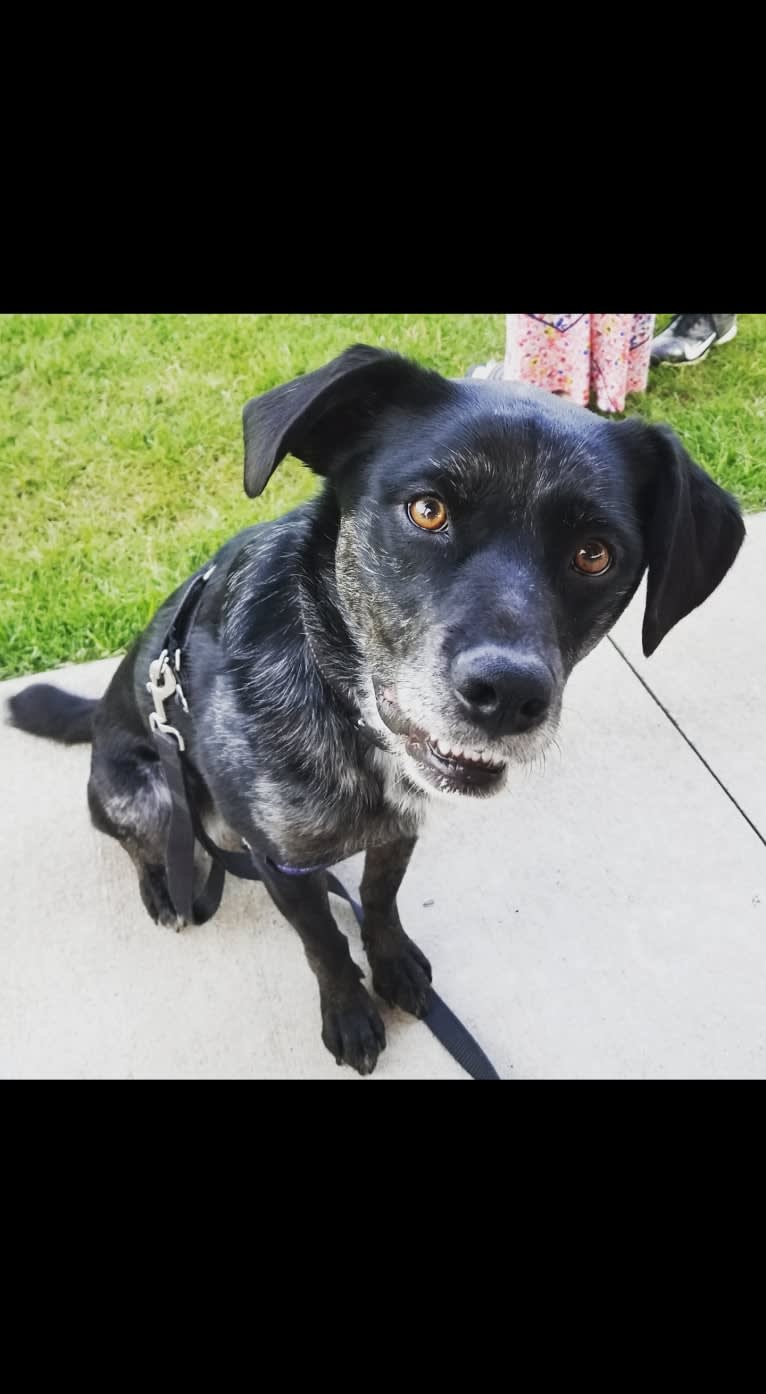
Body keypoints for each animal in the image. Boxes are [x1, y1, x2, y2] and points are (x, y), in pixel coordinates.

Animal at [8, 342, 742, 1070]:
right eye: (427, 511)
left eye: (594, 554)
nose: (507, 696)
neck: (347, 711)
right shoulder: (284, 862)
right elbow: (323, 943)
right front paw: (351, 1012)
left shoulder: (400, 826)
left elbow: (378, 900)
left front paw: (392, 966)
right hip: (144, 792)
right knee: (141, 837)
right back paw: (165, 884)